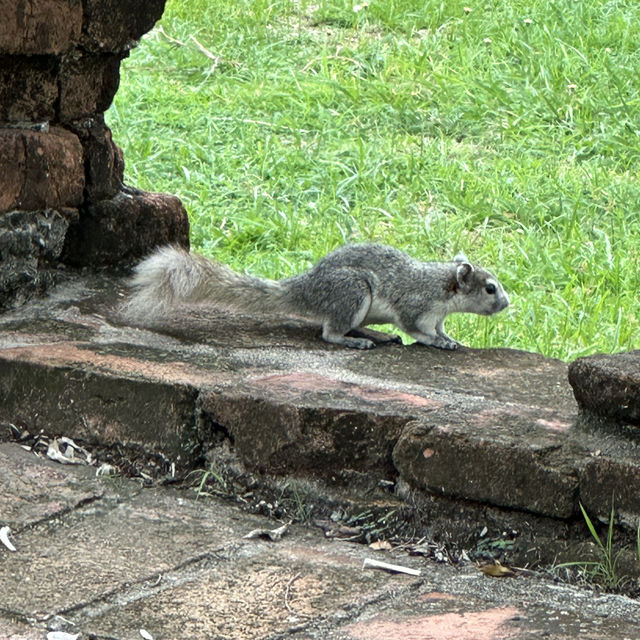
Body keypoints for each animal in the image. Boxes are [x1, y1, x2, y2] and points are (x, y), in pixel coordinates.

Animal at [126, 242, 510, 350]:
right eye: (490, 288)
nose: (507, 303)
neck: (442, 287)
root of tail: (307, 289)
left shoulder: (439, 315)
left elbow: (441, 329)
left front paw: (450, 339)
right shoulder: (414, 305)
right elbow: (417, 329)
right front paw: (437, 343)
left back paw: (375, 334)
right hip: (353, 293)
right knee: (329, 332)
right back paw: (356, 341)